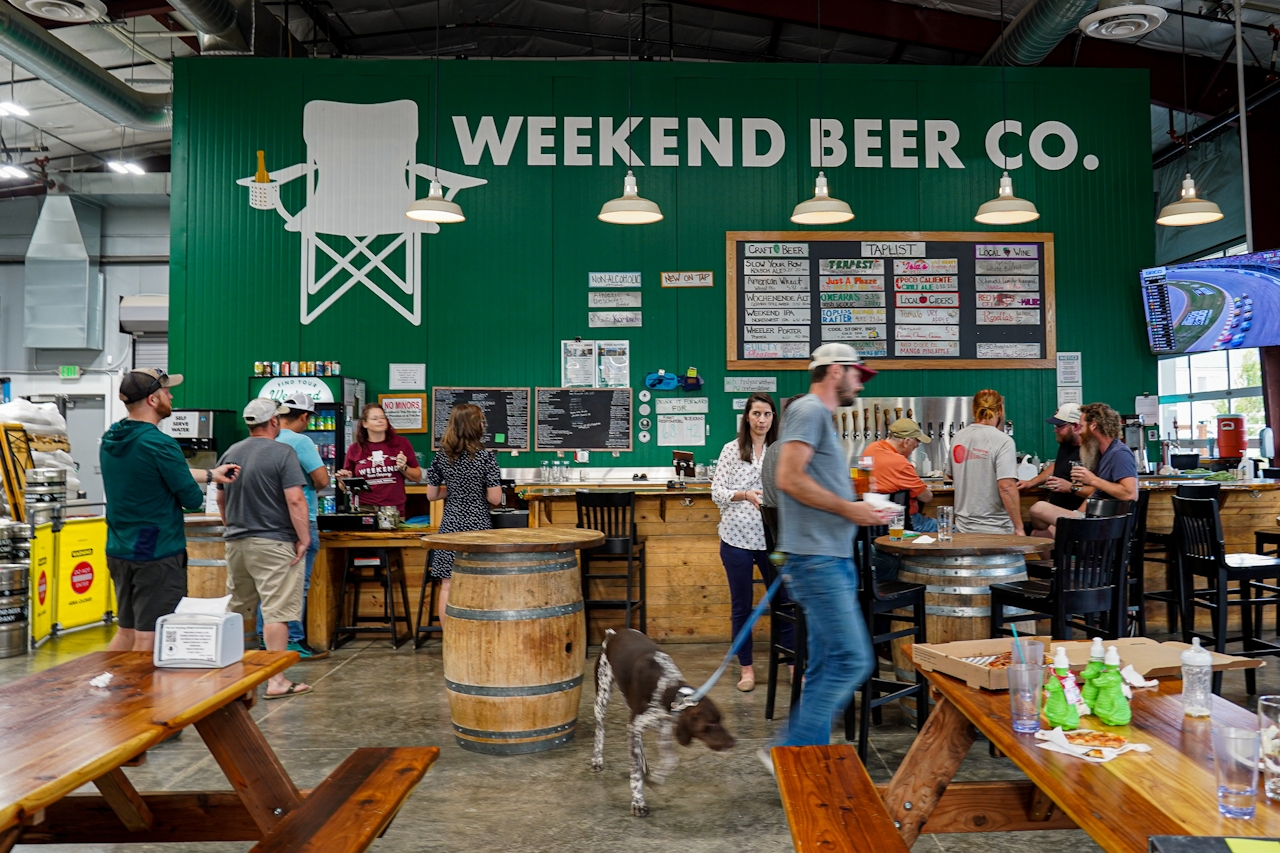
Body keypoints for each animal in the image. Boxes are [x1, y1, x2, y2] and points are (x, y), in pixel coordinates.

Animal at [591, 627, 737, 814]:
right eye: (710, 723)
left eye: (720, 719)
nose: (732, 742)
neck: (668, 689)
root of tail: (614, 634)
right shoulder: (640, 724)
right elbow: (635, 773)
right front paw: (638, 801)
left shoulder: (663, 727)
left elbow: (670, 760)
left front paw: (655, 778)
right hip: (602, 699)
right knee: (600, 730)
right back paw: (597, 759)